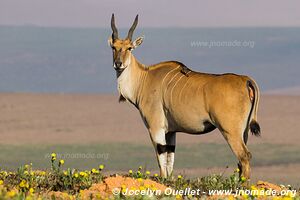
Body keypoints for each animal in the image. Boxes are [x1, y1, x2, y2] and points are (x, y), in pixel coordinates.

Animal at [108, 14, 260, 180]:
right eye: (113, 47)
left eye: (129, 48)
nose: (118, 64)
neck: (145, 78)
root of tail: (245, 80)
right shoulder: (170, 132)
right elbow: (170, 160)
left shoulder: (155, 128)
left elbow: (161, 159)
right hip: (243, 132)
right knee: (241, 161)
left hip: (230, 130)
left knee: (244, 156)